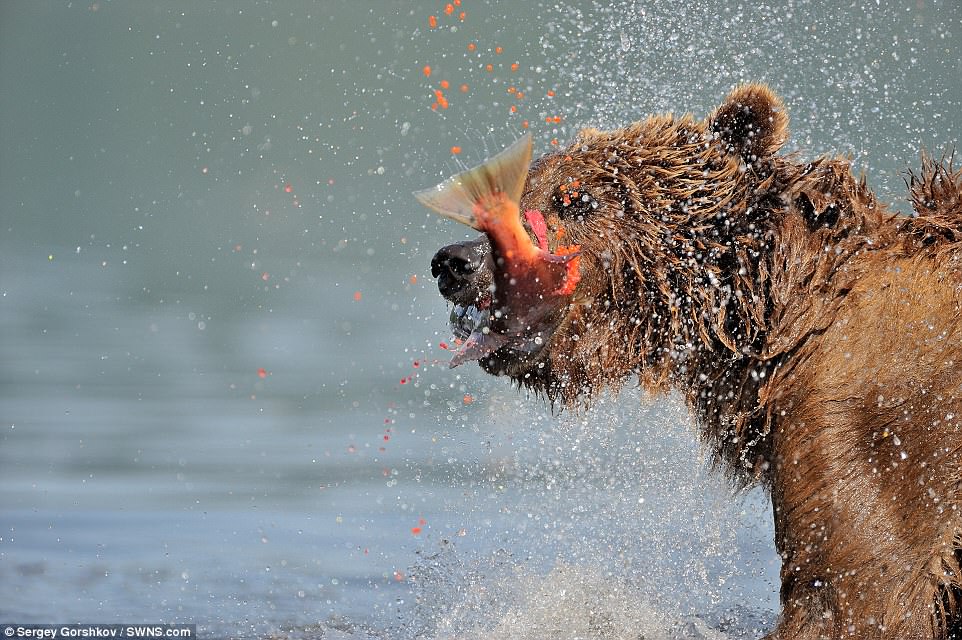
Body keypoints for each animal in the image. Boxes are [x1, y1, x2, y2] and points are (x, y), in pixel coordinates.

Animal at [424, 86, 960, 640]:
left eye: (578, 200)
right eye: (519, 189)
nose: (456, 262)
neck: (777, 317)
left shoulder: (881, 428)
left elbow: (857, 593)